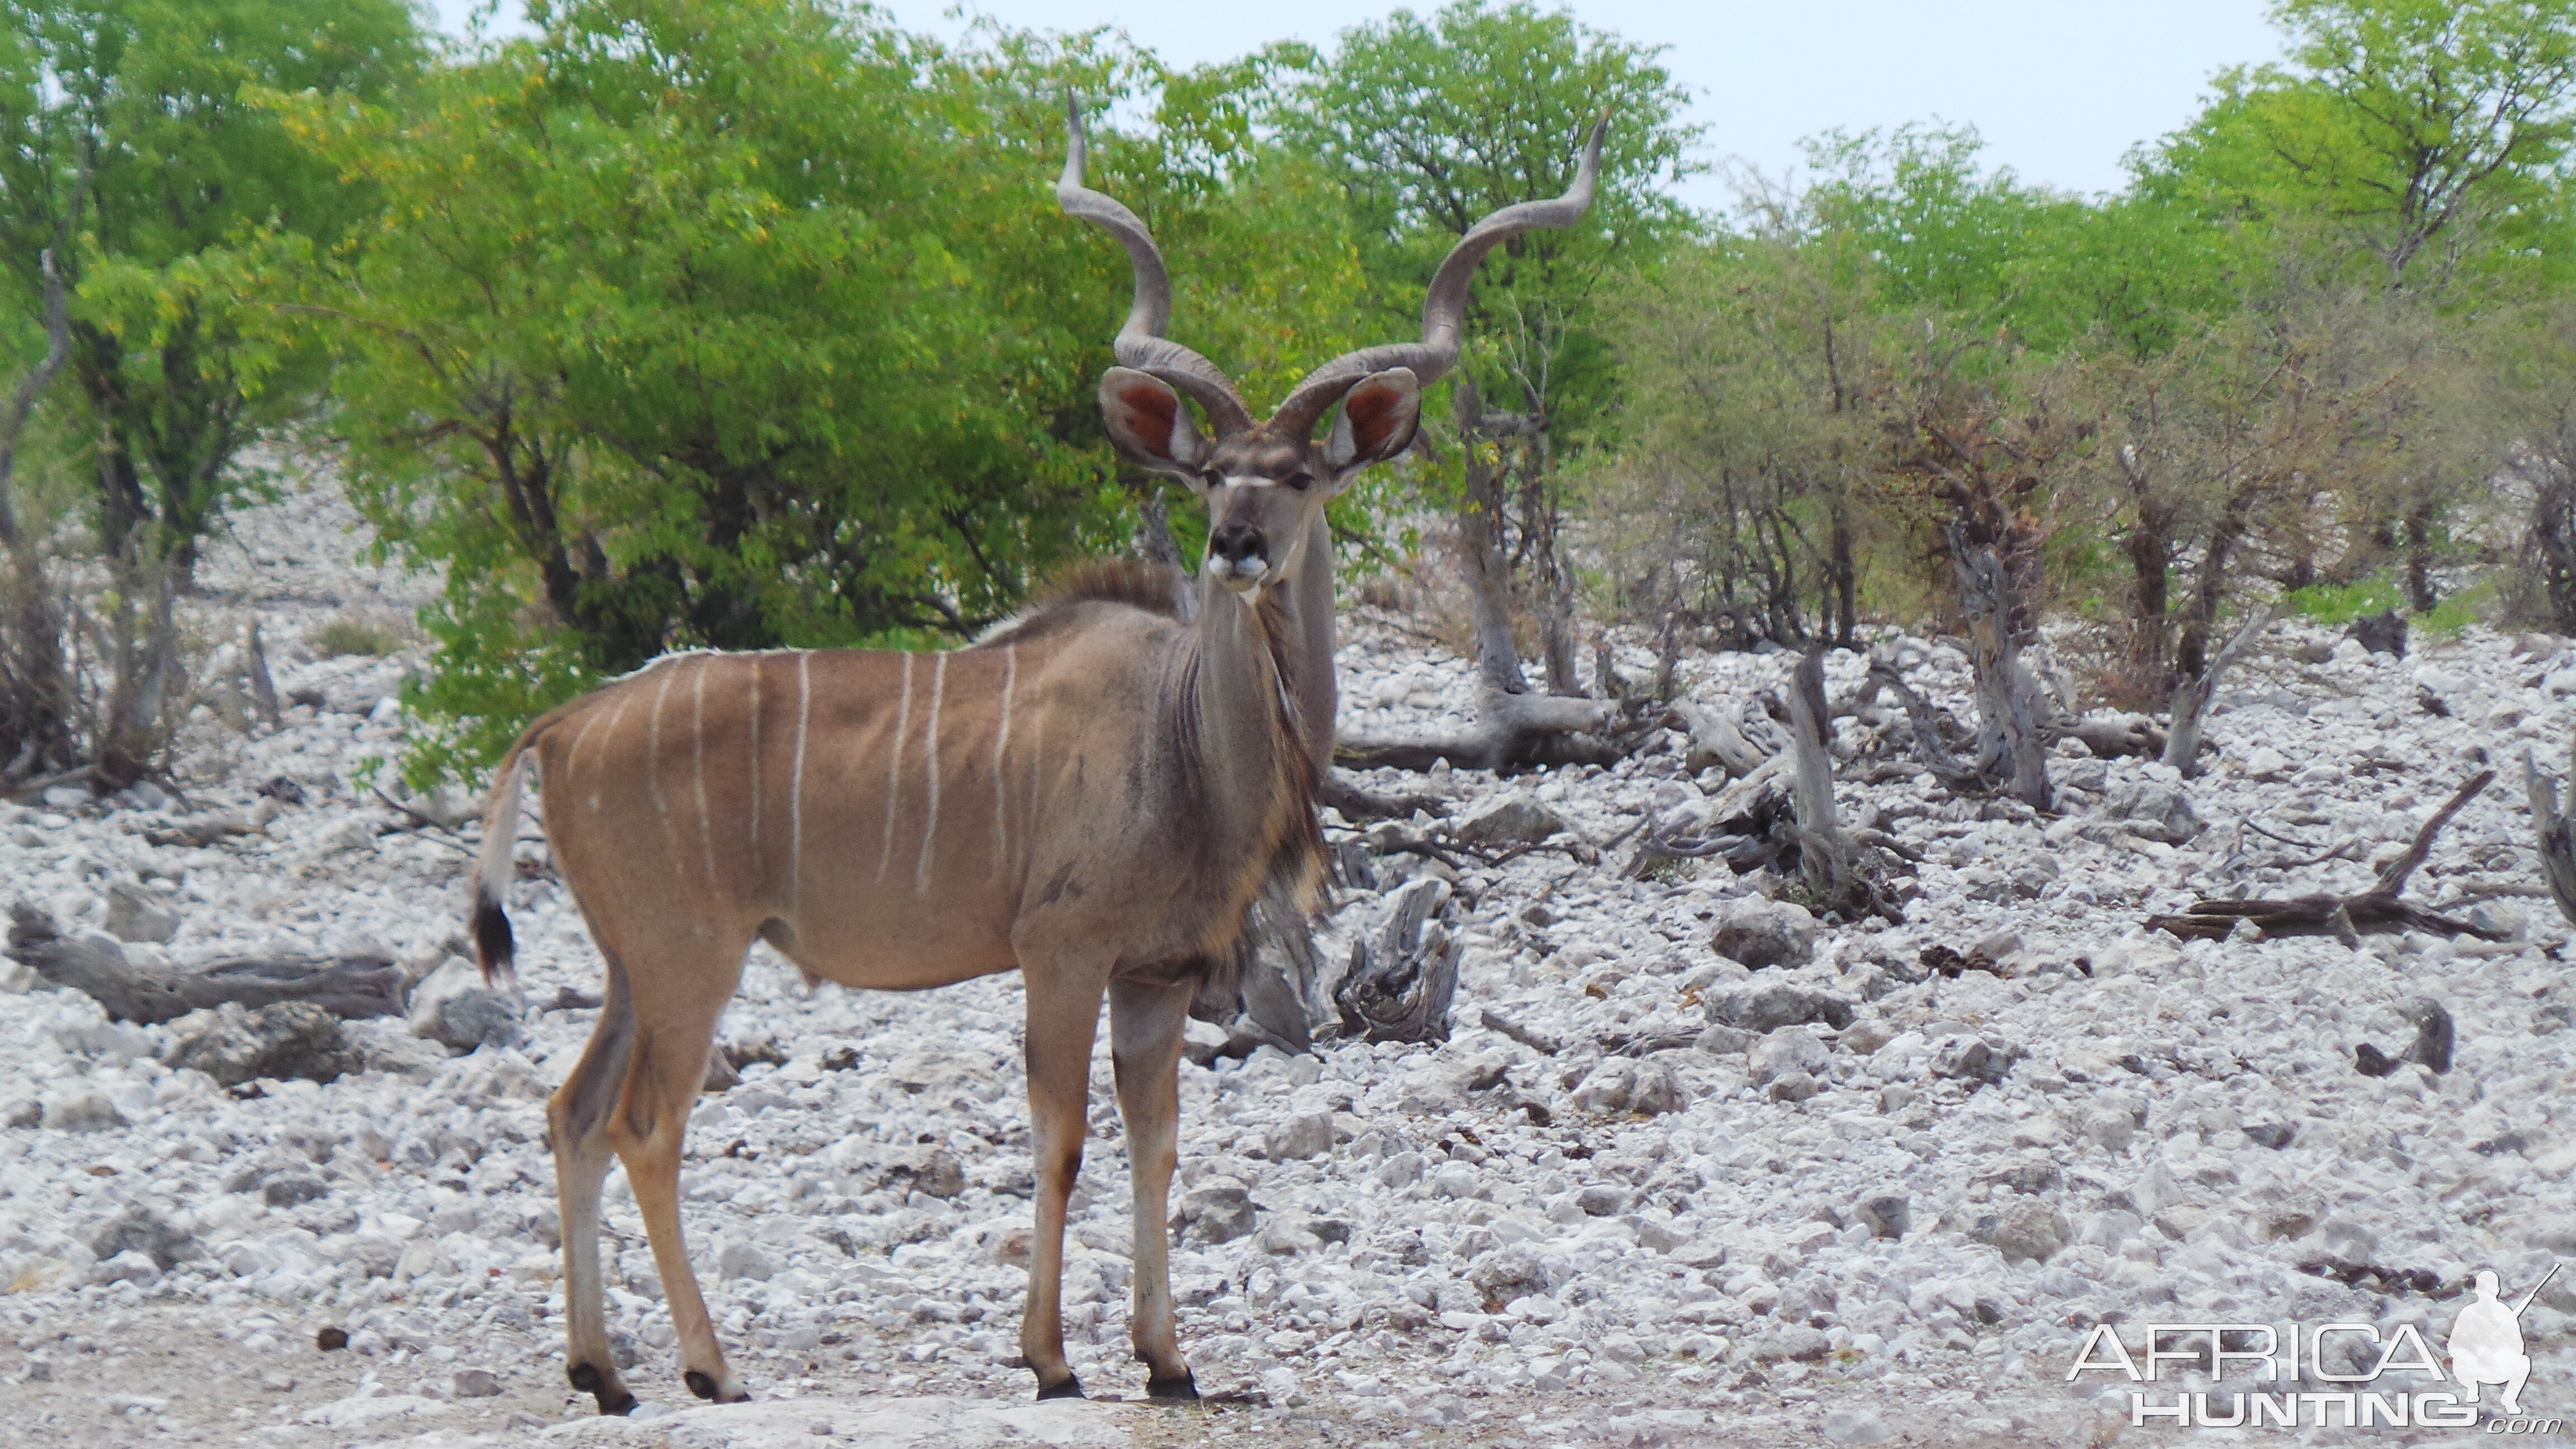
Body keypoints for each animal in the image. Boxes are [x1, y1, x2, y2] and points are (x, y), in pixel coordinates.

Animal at [471, 96, 1597, 1402]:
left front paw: (1169, 1359)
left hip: (630, 967)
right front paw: (1052, 1358)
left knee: (572, 1112)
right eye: (1211, 473)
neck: (1184, 740)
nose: (1235, 544)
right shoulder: (1060, 952)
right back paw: (711, 1369)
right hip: (687, 958)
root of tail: (563, 722)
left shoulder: (1156, 974)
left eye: (1300, 476)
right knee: (645, 1128)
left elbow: (1158, 1146)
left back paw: (602, 1371)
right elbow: (1061, 1140)